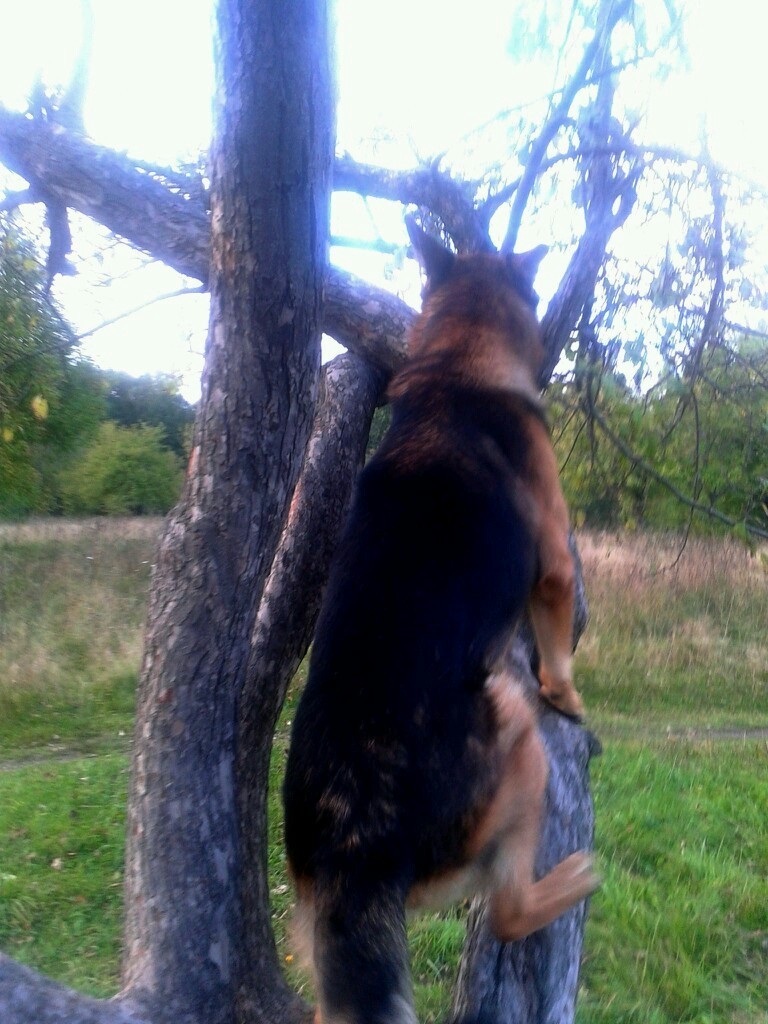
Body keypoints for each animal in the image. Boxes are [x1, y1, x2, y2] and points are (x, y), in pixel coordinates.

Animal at [286, 220, 598, 1024]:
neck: (457, 364)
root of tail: (351, 855)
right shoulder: (554, 561)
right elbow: (557, 641)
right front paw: (571, 696)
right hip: (518, 738)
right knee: (511, 910)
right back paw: (573, 879)